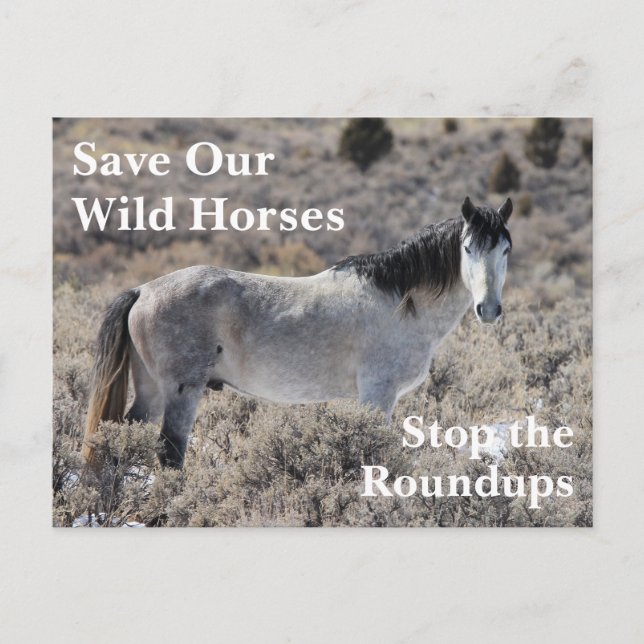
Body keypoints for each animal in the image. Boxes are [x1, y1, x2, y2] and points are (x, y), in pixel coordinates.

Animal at [82, 196, 513, 468]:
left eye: (505, 249)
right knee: (170, 455)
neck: (399, 300)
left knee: (118, 438)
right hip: (180, 392)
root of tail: (143, 290)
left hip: (151, 391)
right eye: (468, 248)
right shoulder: (378, 393)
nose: (489, 309)